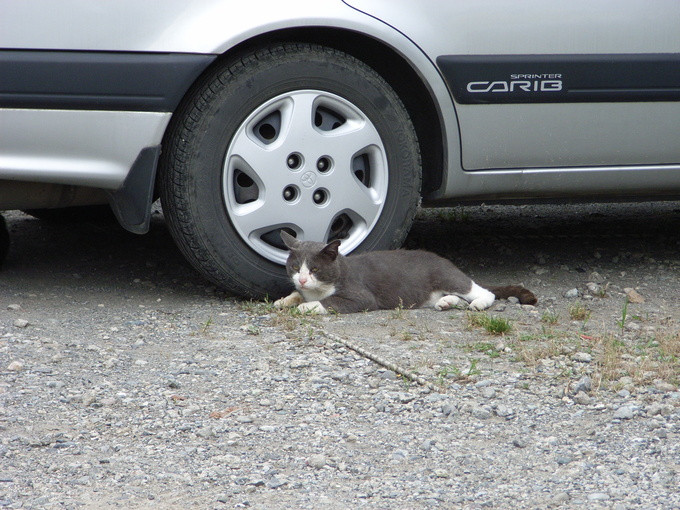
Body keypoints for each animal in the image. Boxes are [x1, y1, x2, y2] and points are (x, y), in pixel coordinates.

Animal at [274, 232, 536, 314]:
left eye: (315, 269)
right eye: (295, 267)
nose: (303, 279)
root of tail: (446, 261)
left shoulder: (360, 295)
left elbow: (329, 302)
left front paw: (306, 306)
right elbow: (297, 294)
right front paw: (285, 300)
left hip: (447, 276)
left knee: (481, 291)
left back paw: (478, 303)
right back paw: (446, 302)